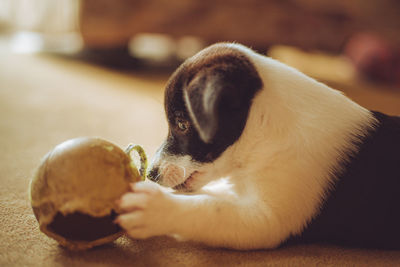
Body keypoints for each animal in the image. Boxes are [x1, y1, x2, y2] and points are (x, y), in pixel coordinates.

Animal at [116, 43, 400, 250]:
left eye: (182, 124)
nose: (151, 174)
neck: (266, 132)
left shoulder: (268, 221)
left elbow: (208, 208)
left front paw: (155, 209)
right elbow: (209, 196)